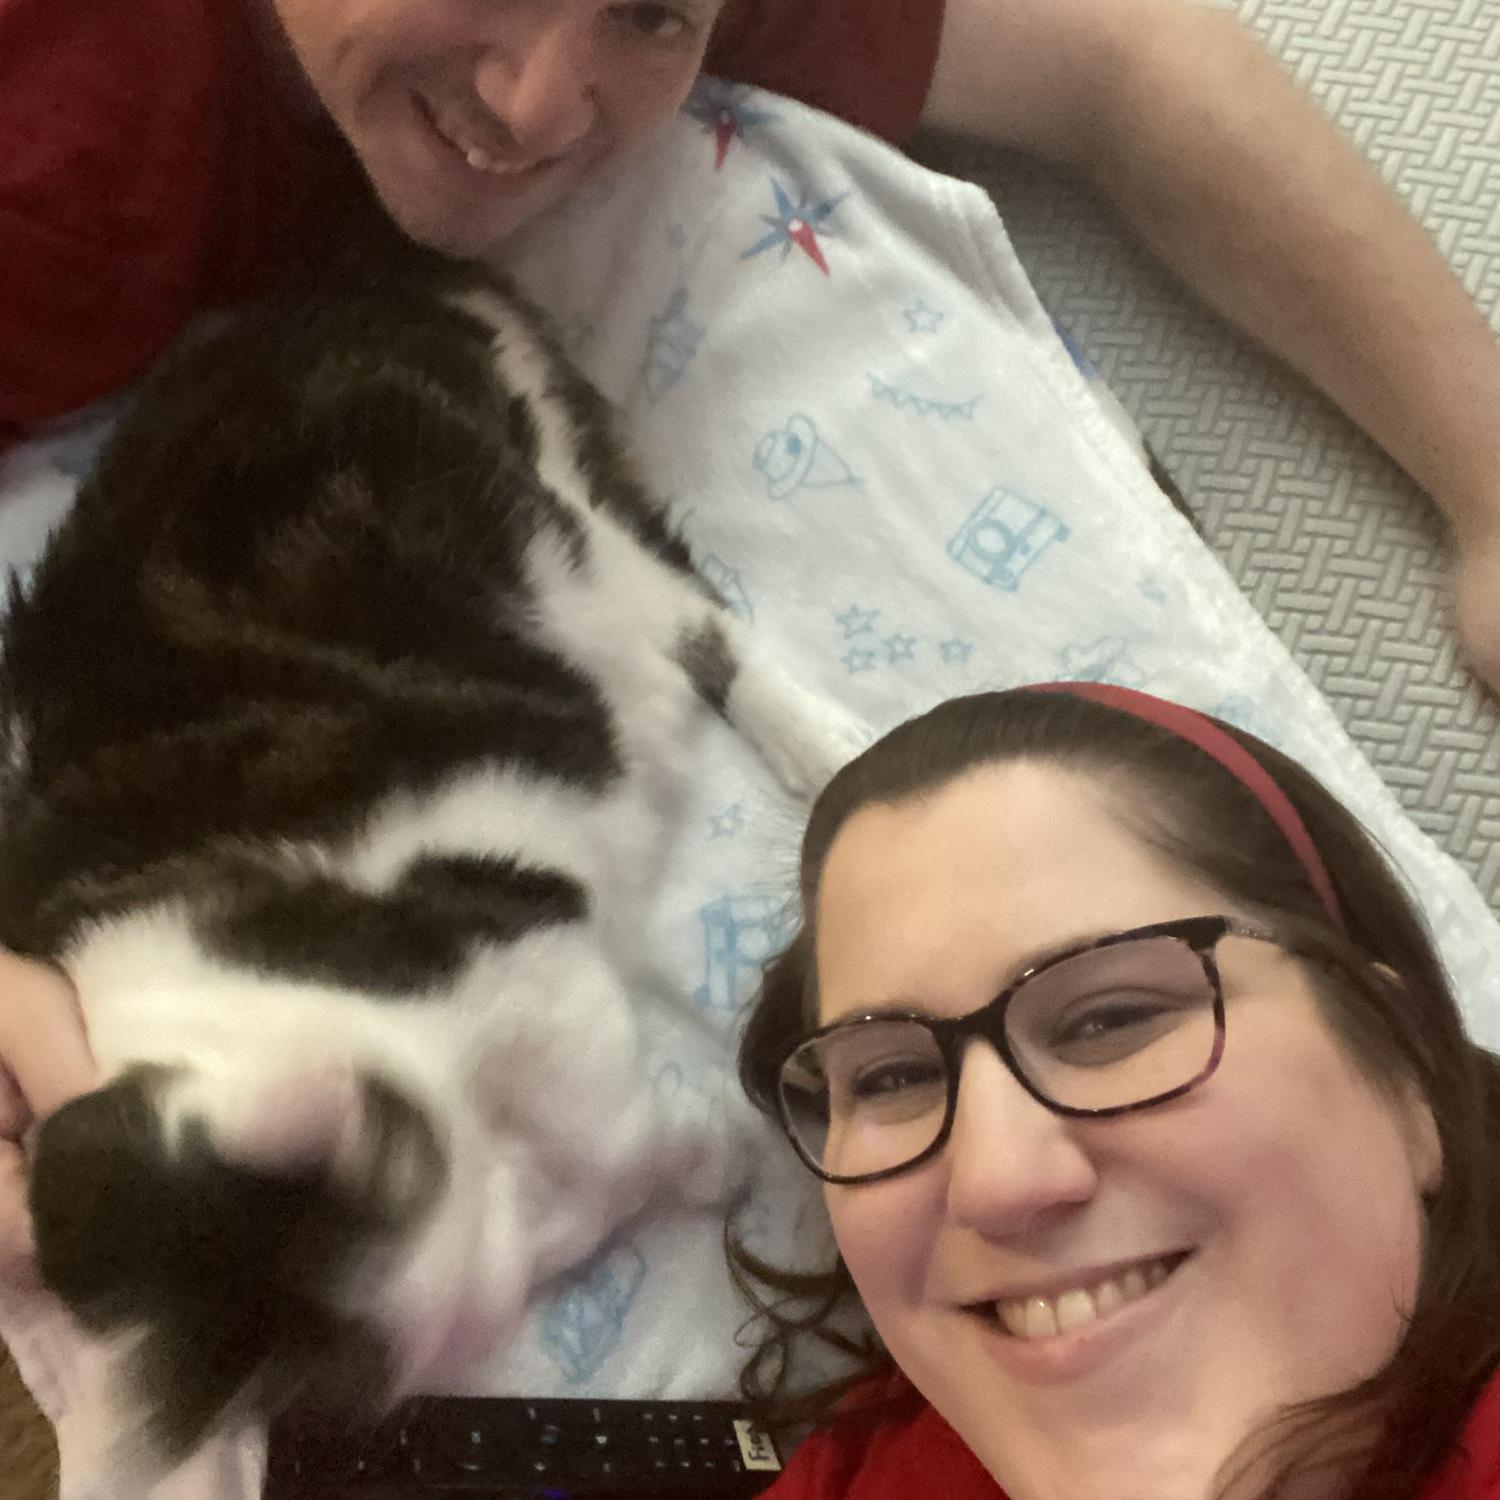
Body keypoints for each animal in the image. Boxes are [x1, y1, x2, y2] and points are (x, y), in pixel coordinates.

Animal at [3, 224, 863, 1494]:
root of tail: (387, 275)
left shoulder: (518, 958)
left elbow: (608, 1117)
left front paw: (714, 1150)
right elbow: (615, 1154)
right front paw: (704, 1152)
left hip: (566, 538)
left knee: (703, 623)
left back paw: (837, 751)